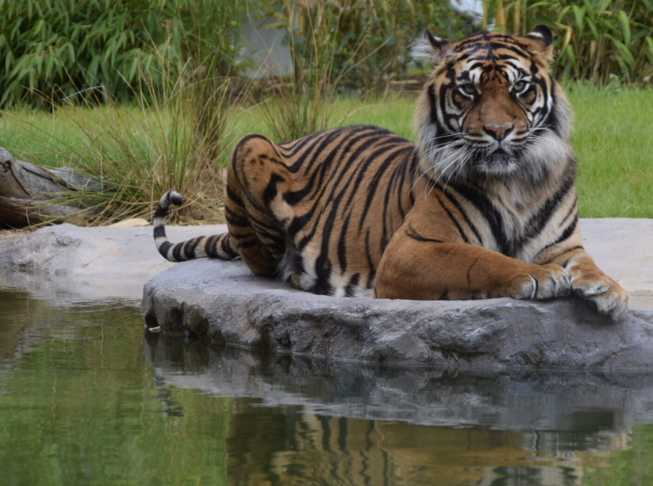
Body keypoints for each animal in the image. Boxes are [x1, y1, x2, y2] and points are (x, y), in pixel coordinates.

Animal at [152, 24, 628, 318]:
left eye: (520, 88)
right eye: (468, 90)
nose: (498, 132)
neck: (514, 182)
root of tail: (300, 137)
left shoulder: (564, 244)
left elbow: (587, 263)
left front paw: (609, 289)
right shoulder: (410, 249)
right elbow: (481, 259)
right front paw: (538, 277)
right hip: (249, 145)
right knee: (260, 259)